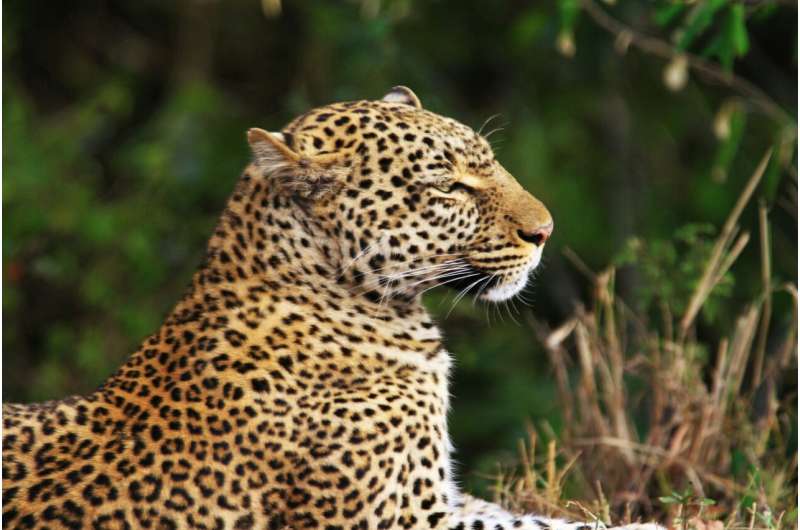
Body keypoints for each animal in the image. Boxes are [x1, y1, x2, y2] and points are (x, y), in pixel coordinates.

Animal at [2, 86, 661, 530]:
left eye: (490, 161)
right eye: (447, 186)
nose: (545, 231)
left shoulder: (444, 499)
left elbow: (537, 517)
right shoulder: (405, 517)